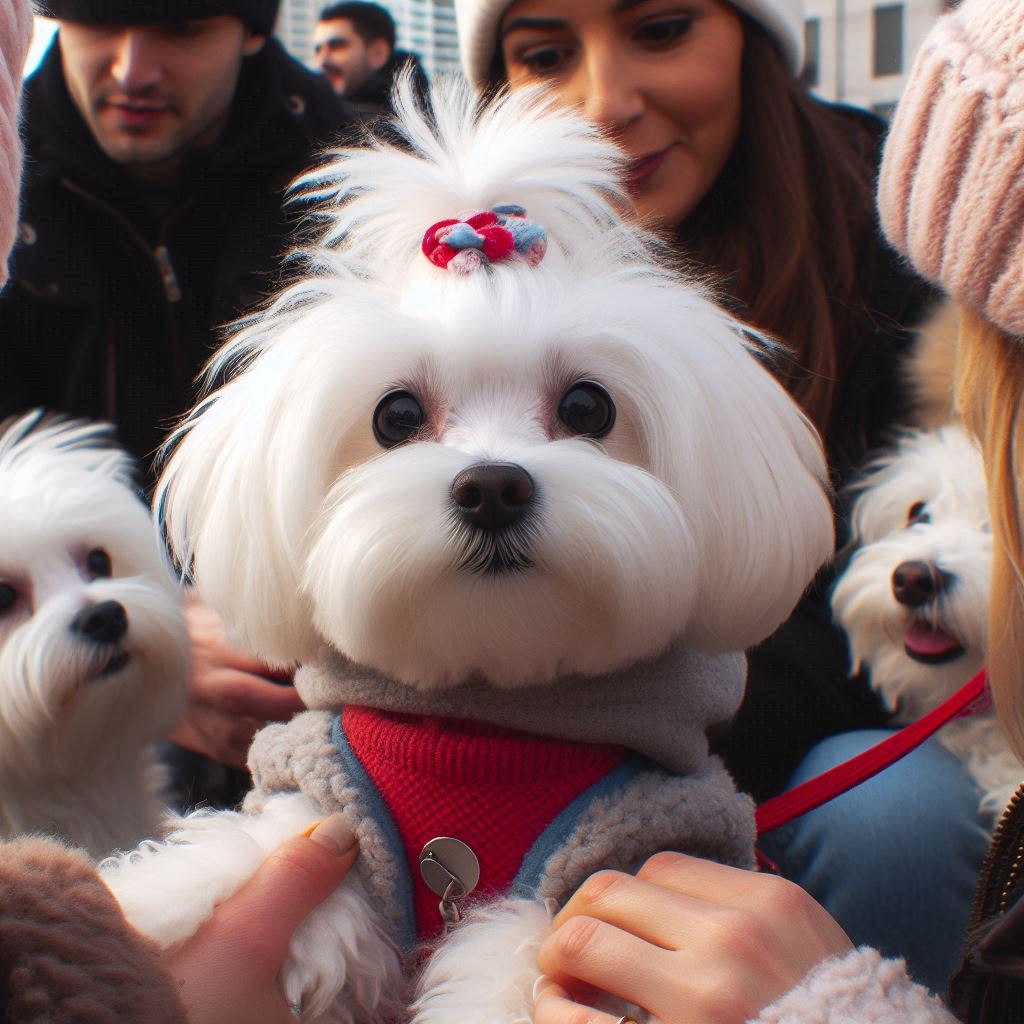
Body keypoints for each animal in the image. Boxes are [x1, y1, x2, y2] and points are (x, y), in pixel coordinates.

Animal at [99, 81, 835, 1024]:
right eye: (396, 416)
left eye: (589, 407)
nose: (492, 488)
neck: (482, 722)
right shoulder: (330, 798)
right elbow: (275, 853)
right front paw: (151, 902)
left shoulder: (654, 837)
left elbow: (527, 938)